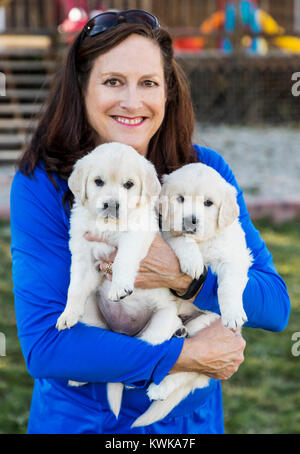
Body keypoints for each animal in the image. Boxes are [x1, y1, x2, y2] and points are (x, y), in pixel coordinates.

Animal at [132, 163, 252, 430]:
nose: (190, 220)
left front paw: (233, 313)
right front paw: (193, 261)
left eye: (208, 203)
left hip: (203, 325)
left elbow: (229, 285)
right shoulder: (167, 236)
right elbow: (181, 240)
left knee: (187, 371)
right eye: (180, 199)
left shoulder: (233, 255)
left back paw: (161, 387)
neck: (203, 242)